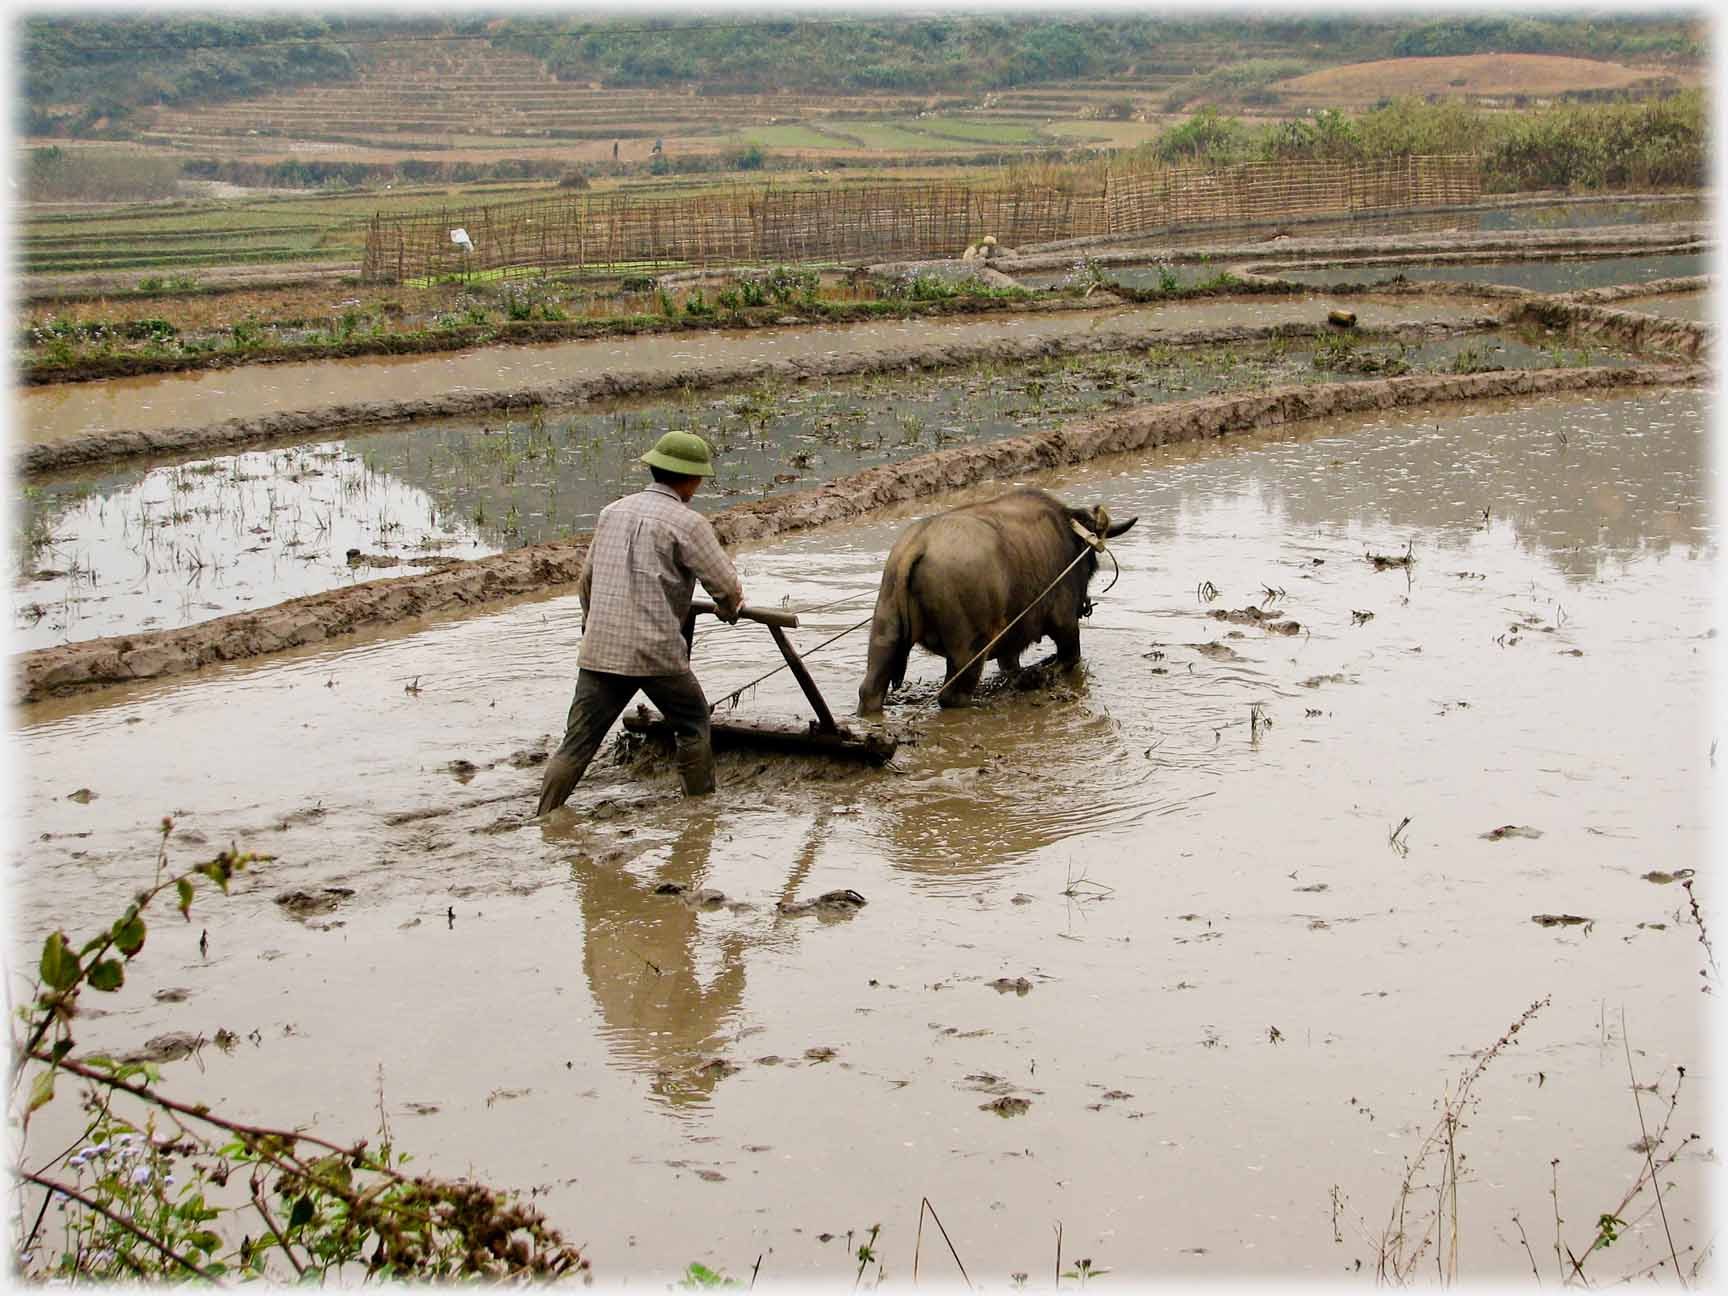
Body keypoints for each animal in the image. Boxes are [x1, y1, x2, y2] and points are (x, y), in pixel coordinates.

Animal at [860, 490, 1133, 715]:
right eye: (1090, 563)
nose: (1084, 606)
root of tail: (918, 544)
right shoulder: (1064, 624)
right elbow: (1068, 658)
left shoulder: (1010, 644)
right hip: (969, 650)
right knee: (953, 696)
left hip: (886, 629)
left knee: (871, 690)